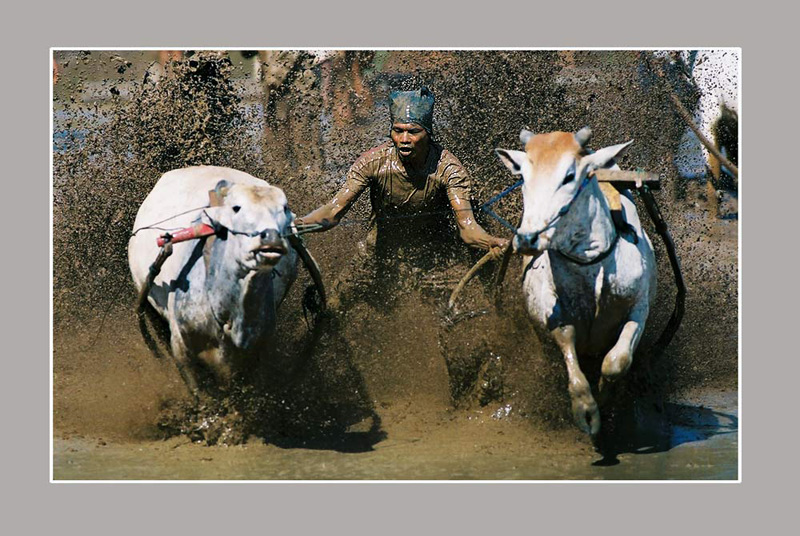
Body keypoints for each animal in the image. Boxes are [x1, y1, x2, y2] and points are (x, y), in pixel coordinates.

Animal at [496, 129, 660, 436]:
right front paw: (586, 409)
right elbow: (567, 341)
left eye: (569, 175)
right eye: (523, 176)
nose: (527, 238)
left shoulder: (639, 306)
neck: (592, 266)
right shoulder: (549, 310)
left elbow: (617, 361)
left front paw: (605, 395)